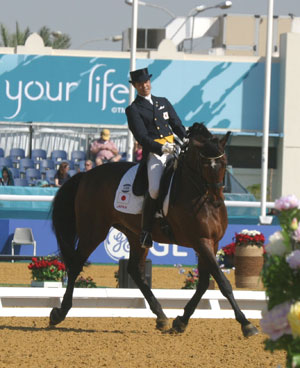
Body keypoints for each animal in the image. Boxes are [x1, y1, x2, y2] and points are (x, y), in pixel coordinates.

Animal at [48, 122, 258, 338]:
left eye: (224, 162)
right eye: (205, 165)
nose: (216, 200)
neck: (198, 194)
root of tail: (86, 175)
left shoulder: (211, 242)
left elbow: (203, 284)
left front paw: (181, 321)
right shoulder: (200, 241)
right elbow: (223, 283)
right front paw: (246, 323)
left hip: (135, 235)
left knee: (134, 269)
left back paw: (161, 316)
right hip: (93, 231)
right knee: (75, 265)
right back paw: (59, 313)